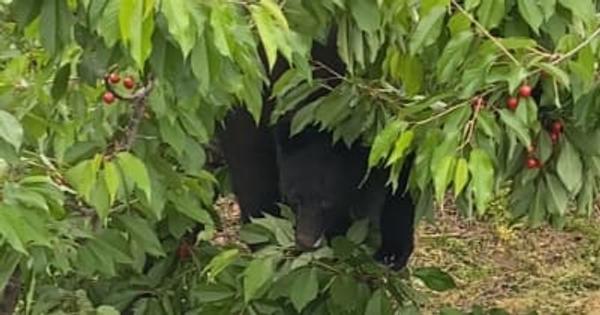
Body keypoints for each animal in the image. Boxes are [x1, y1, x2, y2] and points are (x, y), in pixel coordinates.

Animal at [218, 27, 414, 270]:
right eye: (294, 198)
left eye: (326, 202)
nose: (305, 242)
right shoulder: (255, 113)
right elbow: (252, 174)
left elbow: (401, 175)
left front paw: (392, 251)